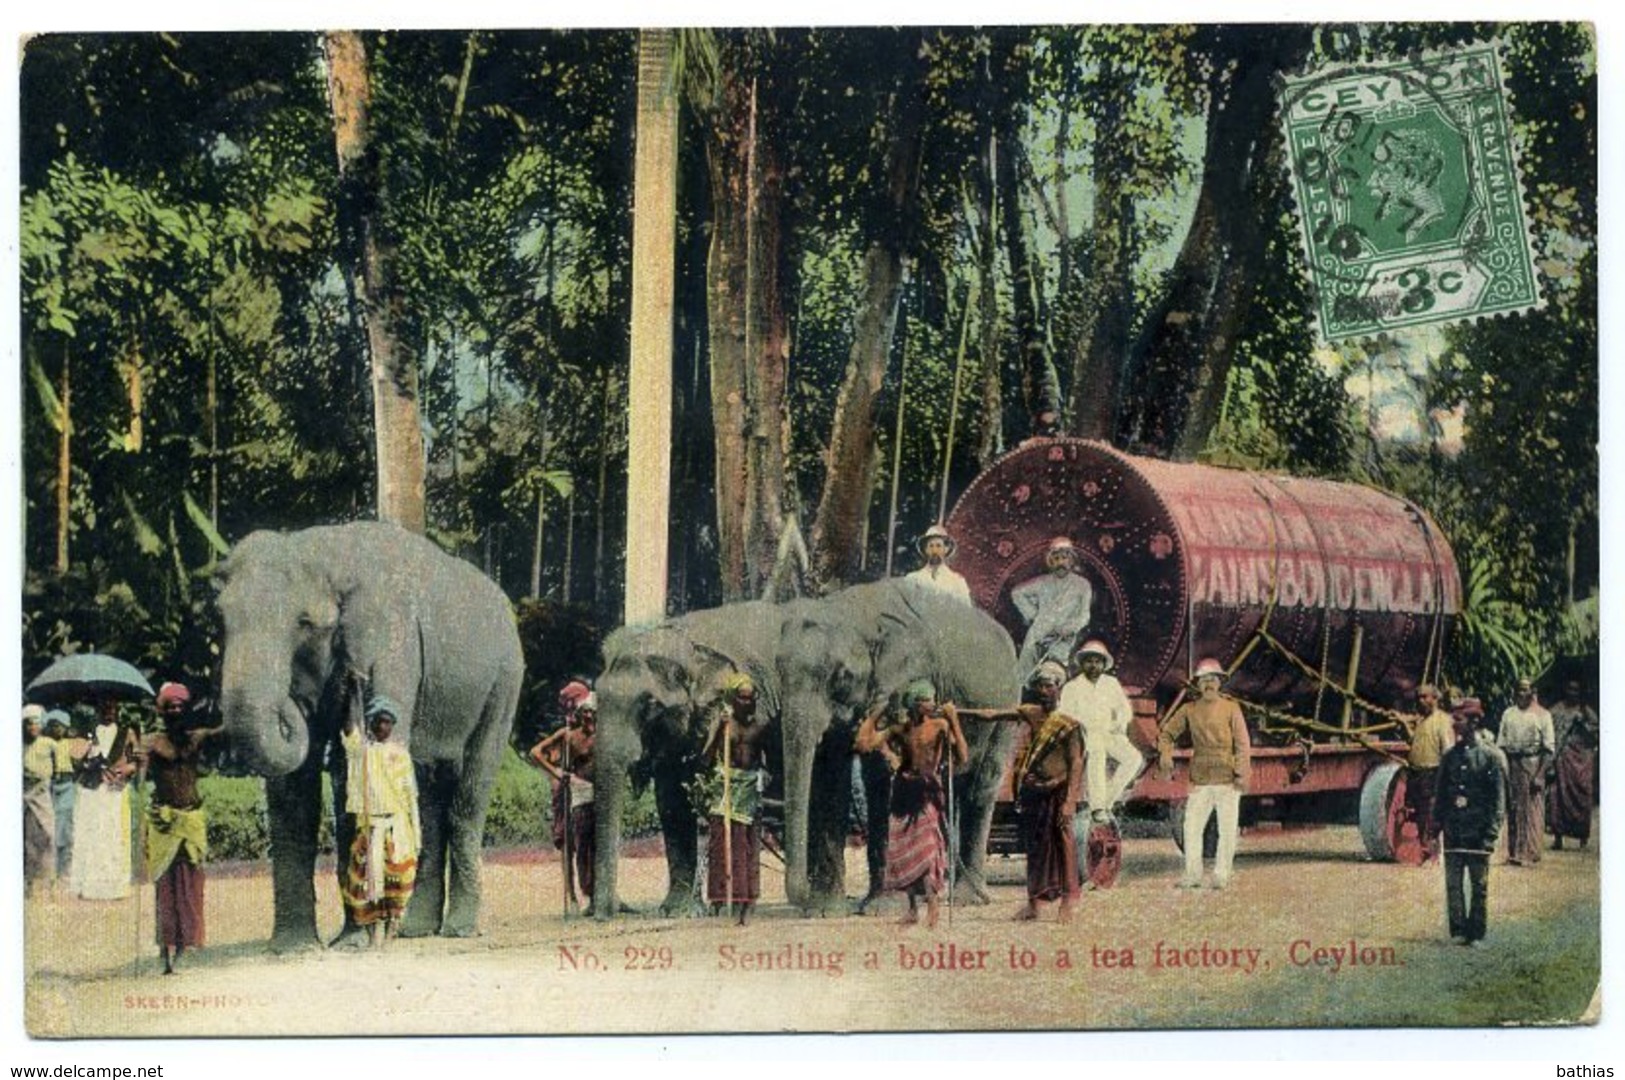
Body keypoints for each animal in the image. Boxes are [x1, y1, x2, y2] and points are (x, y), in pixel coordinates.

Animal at [214, 526, 520, 948]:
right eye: (221, 617)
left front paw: (351, 943)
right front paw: (293, 948)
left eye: (304, 622)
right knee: (427, 796)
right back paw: (414, 931)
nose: (292, 703)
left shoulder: (391, 645)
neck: (323, 550)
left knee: (468, 794)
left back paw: (457, 930)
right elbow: (292, 790)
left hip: (503, 683)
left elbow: (349, 775)